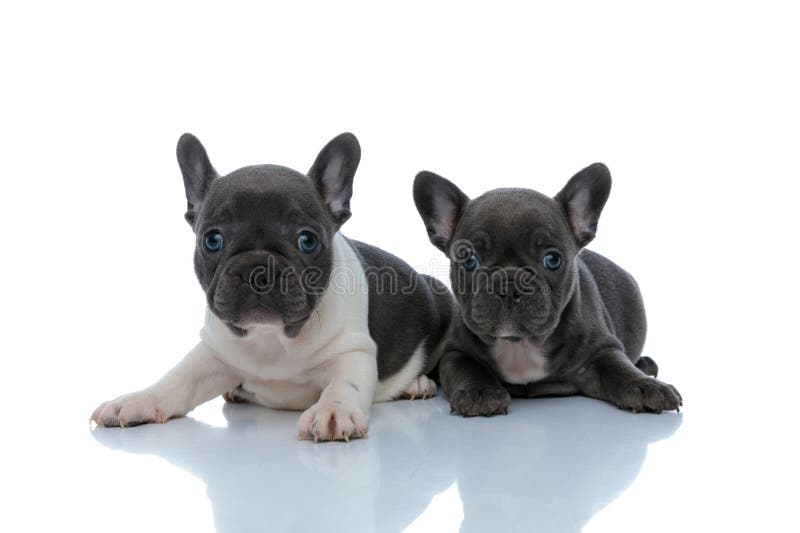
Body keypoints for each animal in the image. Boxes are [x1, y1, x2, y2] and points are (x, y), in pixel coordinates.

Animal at [90, 133, 454, 440]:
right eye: (212, 239)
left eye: (307, 240)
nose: (257, 270)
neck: (273, 340)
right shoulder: (213, 352)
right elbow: (178, 379)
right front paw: (137, 400)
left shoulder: (353, 351)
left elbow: (343, 384)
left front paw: (332, 410)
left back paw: (415, 384)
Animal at [412, 162, 680, 416]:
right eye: (469, 260)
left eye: (552, 259)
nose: (509, 287)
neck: (518, 346)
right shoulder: (456, 351)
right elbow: (467, 368)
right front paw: (479, 392)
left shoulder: (601, 349)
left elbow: (619, 367)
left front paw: (646, 386)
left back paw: (645, 366)